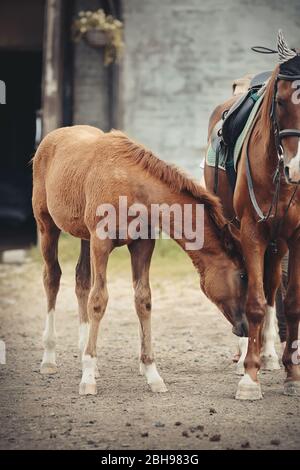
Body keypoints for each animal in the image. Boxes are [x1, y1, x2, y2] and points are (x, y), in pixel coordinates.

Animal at [31, 126, 247, 396]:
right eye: (242, 275)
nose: (245, 326)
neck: (132, 188)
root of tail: (50, 138)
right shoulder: (101, 242)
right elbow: (98, 300)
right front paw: (88, 378)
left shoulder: (142, 243)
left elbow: (143, 300)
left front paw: (152, 373)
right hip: (47, 225)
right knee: (52, 278)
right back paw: (49, 359)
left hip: (83, 236)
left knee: (81, 281)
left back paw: (84, 354)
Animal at [205, 32, 298, 400]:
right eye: (282, 103)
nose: (296, 168)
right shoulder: (252, 233)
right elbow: (254, 300)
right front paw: (249, 376)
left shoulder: (293, 237)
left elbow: (289, 300)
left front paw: (290, 373)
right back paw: (249, 351)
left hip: (278, 243)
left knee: (272, 288)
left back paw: (269, 353)